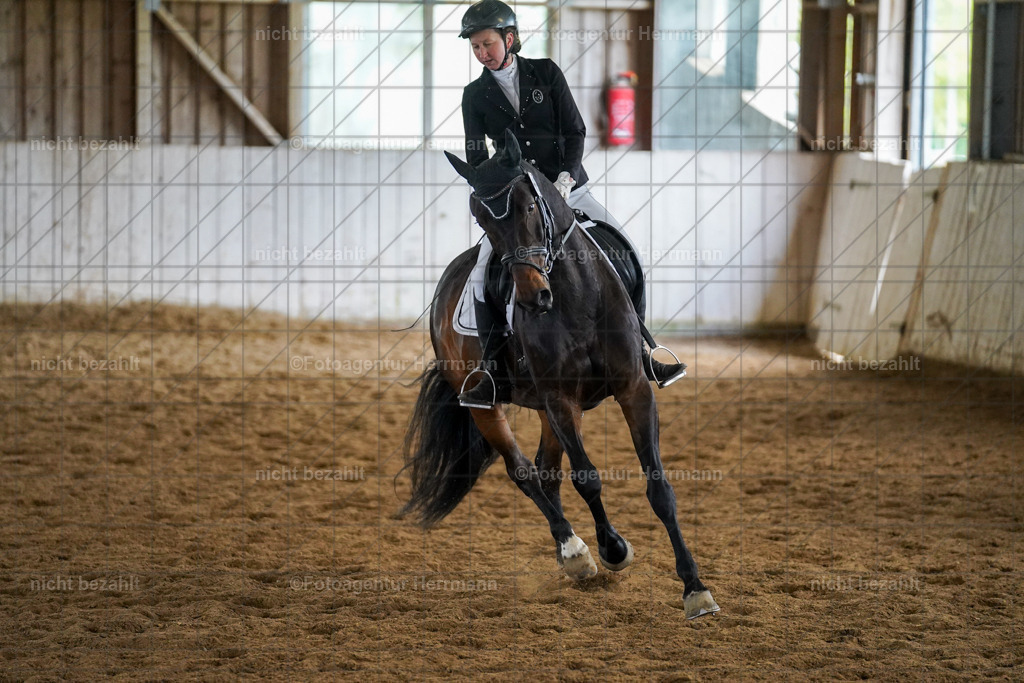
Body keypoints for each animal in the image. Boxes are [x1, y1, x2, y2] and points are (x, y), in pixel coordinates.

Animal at [399, 130, 719, 620]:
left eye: (529, 205)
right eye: (480, 217)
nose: (534, 297)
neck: (574, 296)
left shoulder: (633, 388)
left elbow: (659, 488)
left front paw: (695, 590)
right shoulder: (561, 400)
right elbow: (587, 478)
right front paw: (612, 550)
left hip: (547, 409)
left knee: (547, 472)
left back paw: (571, 550)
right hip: (489, 405)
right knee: (524, 472)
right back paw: (575, 552)